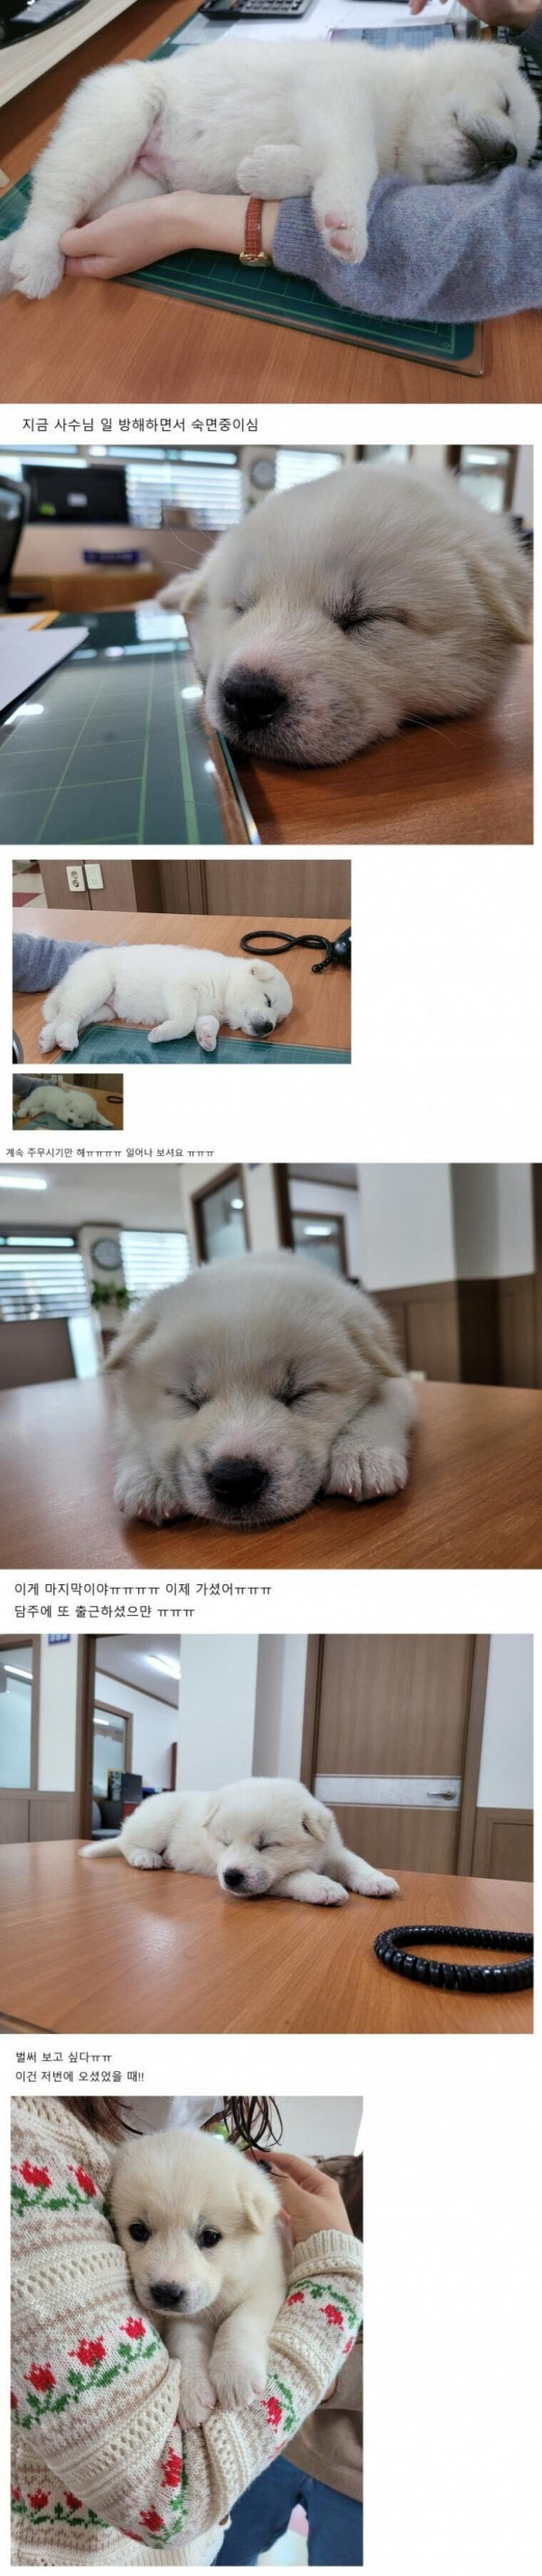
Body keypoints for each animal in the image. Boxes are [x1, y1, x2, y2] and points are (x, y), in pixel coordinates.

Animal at [0, 40, 537, 298]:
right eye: (507, 102)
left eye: (514, 160)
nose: (508, 154)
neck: (401, 118)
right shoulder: (338, 96)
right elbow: (352, 159)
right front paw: (345, 225)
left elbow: (319, 164)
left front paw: (265, 171)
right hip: (116, 123)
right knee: (51, 206)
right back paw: (38, 264)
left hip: (136, 188)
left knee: (69, 210)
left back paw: (15, 257)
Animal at [38, 943, 293, 1056]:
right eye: (268, 1001)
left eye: (279, 1021)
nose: (269, 1027)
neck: (224, 986)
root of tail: (73, 969)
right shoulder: (182, 987)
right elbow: (185, 1022)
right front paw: (160, 1034)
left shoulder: (205, 1011)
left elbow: (207, 1022)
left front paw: (207, 1038)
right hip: (95, 985)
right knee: (69, 1015)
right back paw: (65, 1038)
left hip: (102, 1009)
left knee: (66, 1015)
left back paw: (48, 1039)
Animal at [79, 1774, 399, 1904]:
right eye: (225, 1842)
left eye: (266, 1845)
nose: (231, 1876)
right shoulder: (270, 1877)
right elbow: (294, 1875)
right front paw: (323, 1886)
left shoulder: (333, 1850)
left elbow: (355, 1862)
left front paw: (377, 1880)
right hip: (156, 1821)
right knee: (126, 1843)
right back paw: (147, 1857)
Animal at [103, 1250, 415, 1528]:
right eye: (186, 1398)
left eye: (301, 1393)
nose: (236, 1479)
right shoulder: (126, 1413)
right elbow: (134, 1432)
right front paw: (149, 1477)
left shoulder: (400, 1382)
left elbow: (381, 1406)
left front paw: (362, 1453)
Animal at [109, 2126, 285, 2422]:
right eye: (138, 2231)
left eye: (210, 2237)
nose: (166, 2293)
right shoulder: (184, 2316)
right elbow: (185, 2342)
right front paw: (191, 2390)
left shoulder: (268, 2284)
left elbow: (239, 2321)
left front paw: (236, 2371)